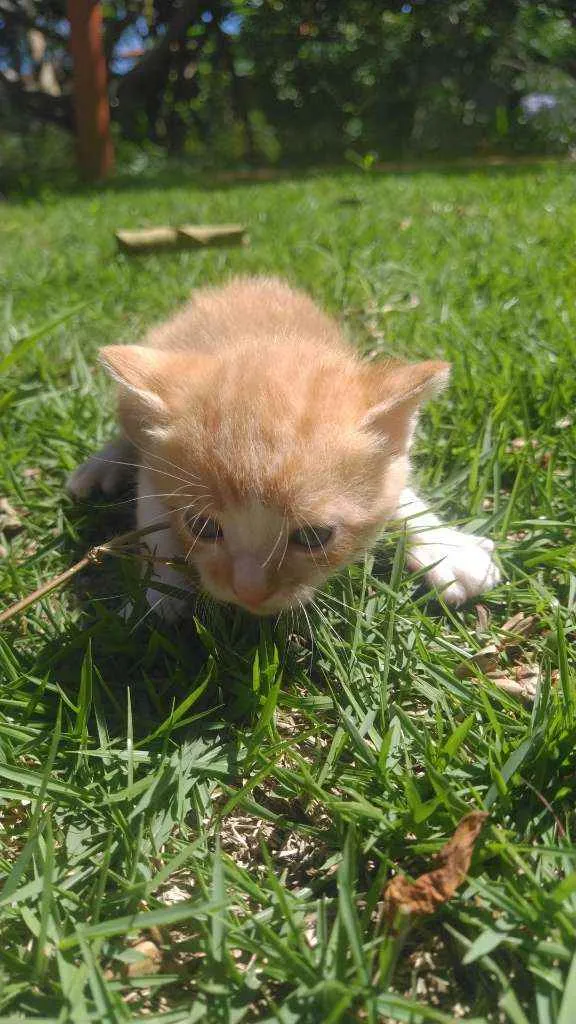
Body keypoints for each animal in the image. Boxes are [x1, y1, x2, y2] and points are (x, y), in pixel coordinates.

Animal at [66, 274, 498, 614]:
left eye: (313, 537)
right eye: (201, 526)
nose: (249, 593)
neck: (264, 341)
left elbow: (401, 489)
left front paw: (448, 547)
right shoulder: (154, 463)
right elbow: (152, 514)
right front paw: (161, 591)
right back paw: (101, 464)